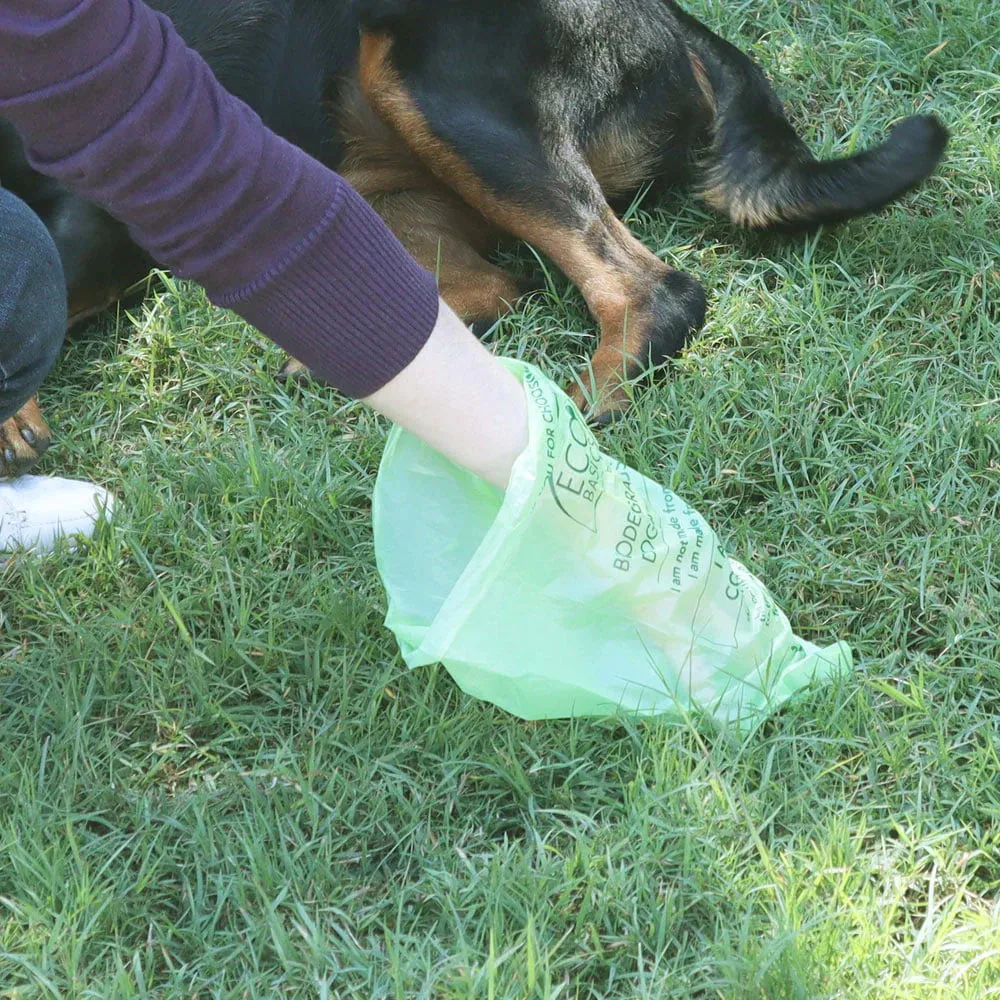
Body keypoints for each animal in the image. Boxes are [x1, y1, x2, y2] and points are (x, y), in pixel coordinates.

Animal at [0, 0, 944, 474]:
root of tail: (673, 19)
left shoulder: (110, 191)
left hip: (444, 83)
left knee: (651, 289)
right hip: (351, 178)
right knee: (484, 289)